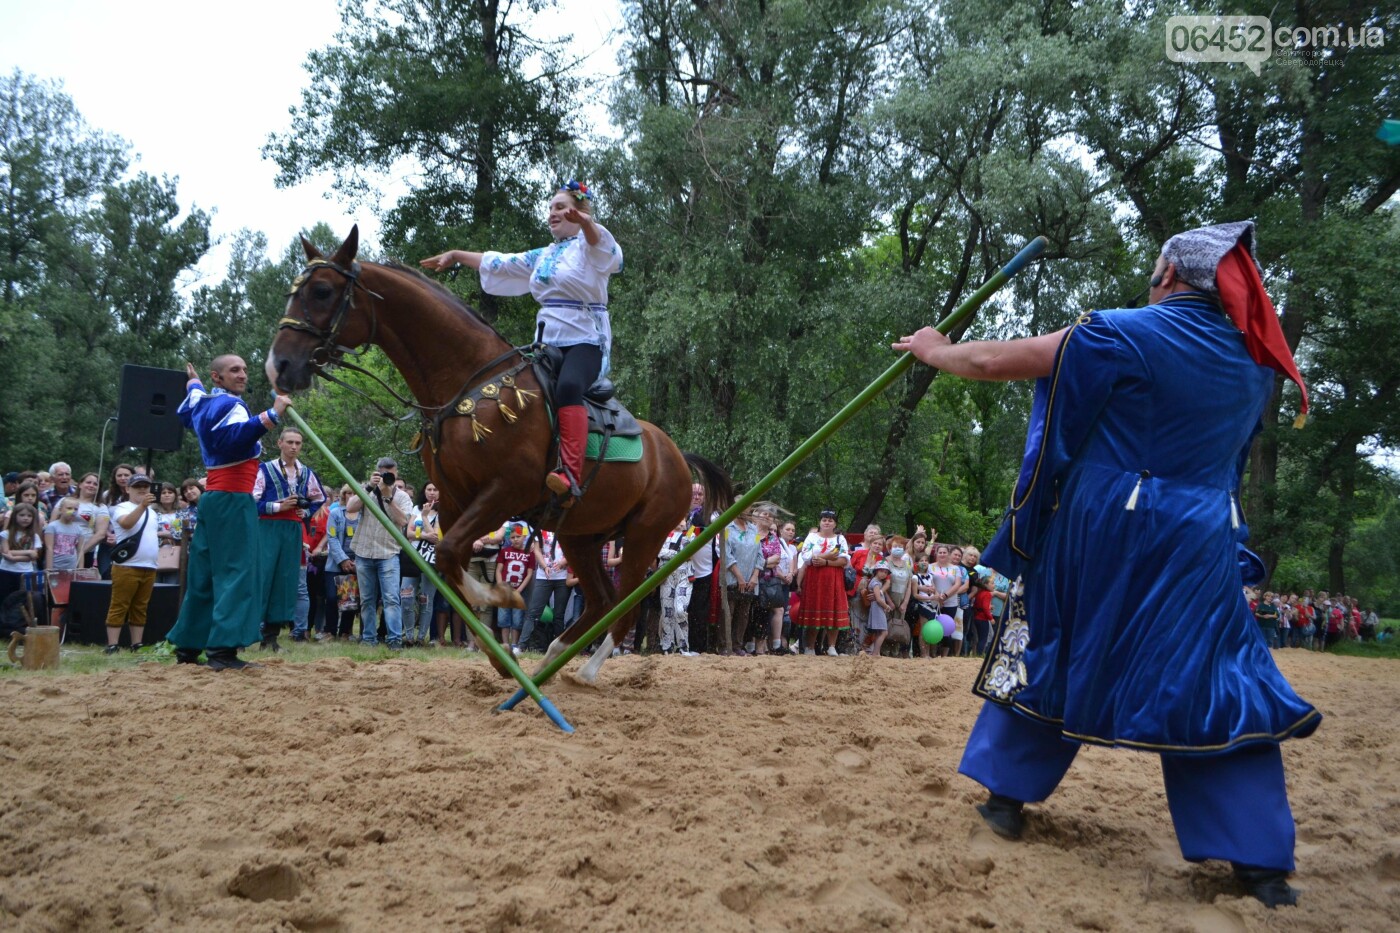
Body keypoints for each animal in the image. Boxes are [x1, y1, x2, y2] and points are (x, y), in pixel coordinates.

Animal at [264, 225, 733, 683]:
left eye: (322, 291)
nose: (278, 365)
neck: (470, 381)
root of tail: (676, 456)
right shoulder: (456, 500)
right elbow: (449, 564)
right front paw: (499, 654)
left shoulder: (506, 492)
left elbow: (451, 556)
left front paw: (502, 595)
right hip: (581, 535)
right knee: (602, 601)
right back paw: (551, 659)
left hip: (642, 537)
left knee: (625, 605)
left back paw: (586, 670)